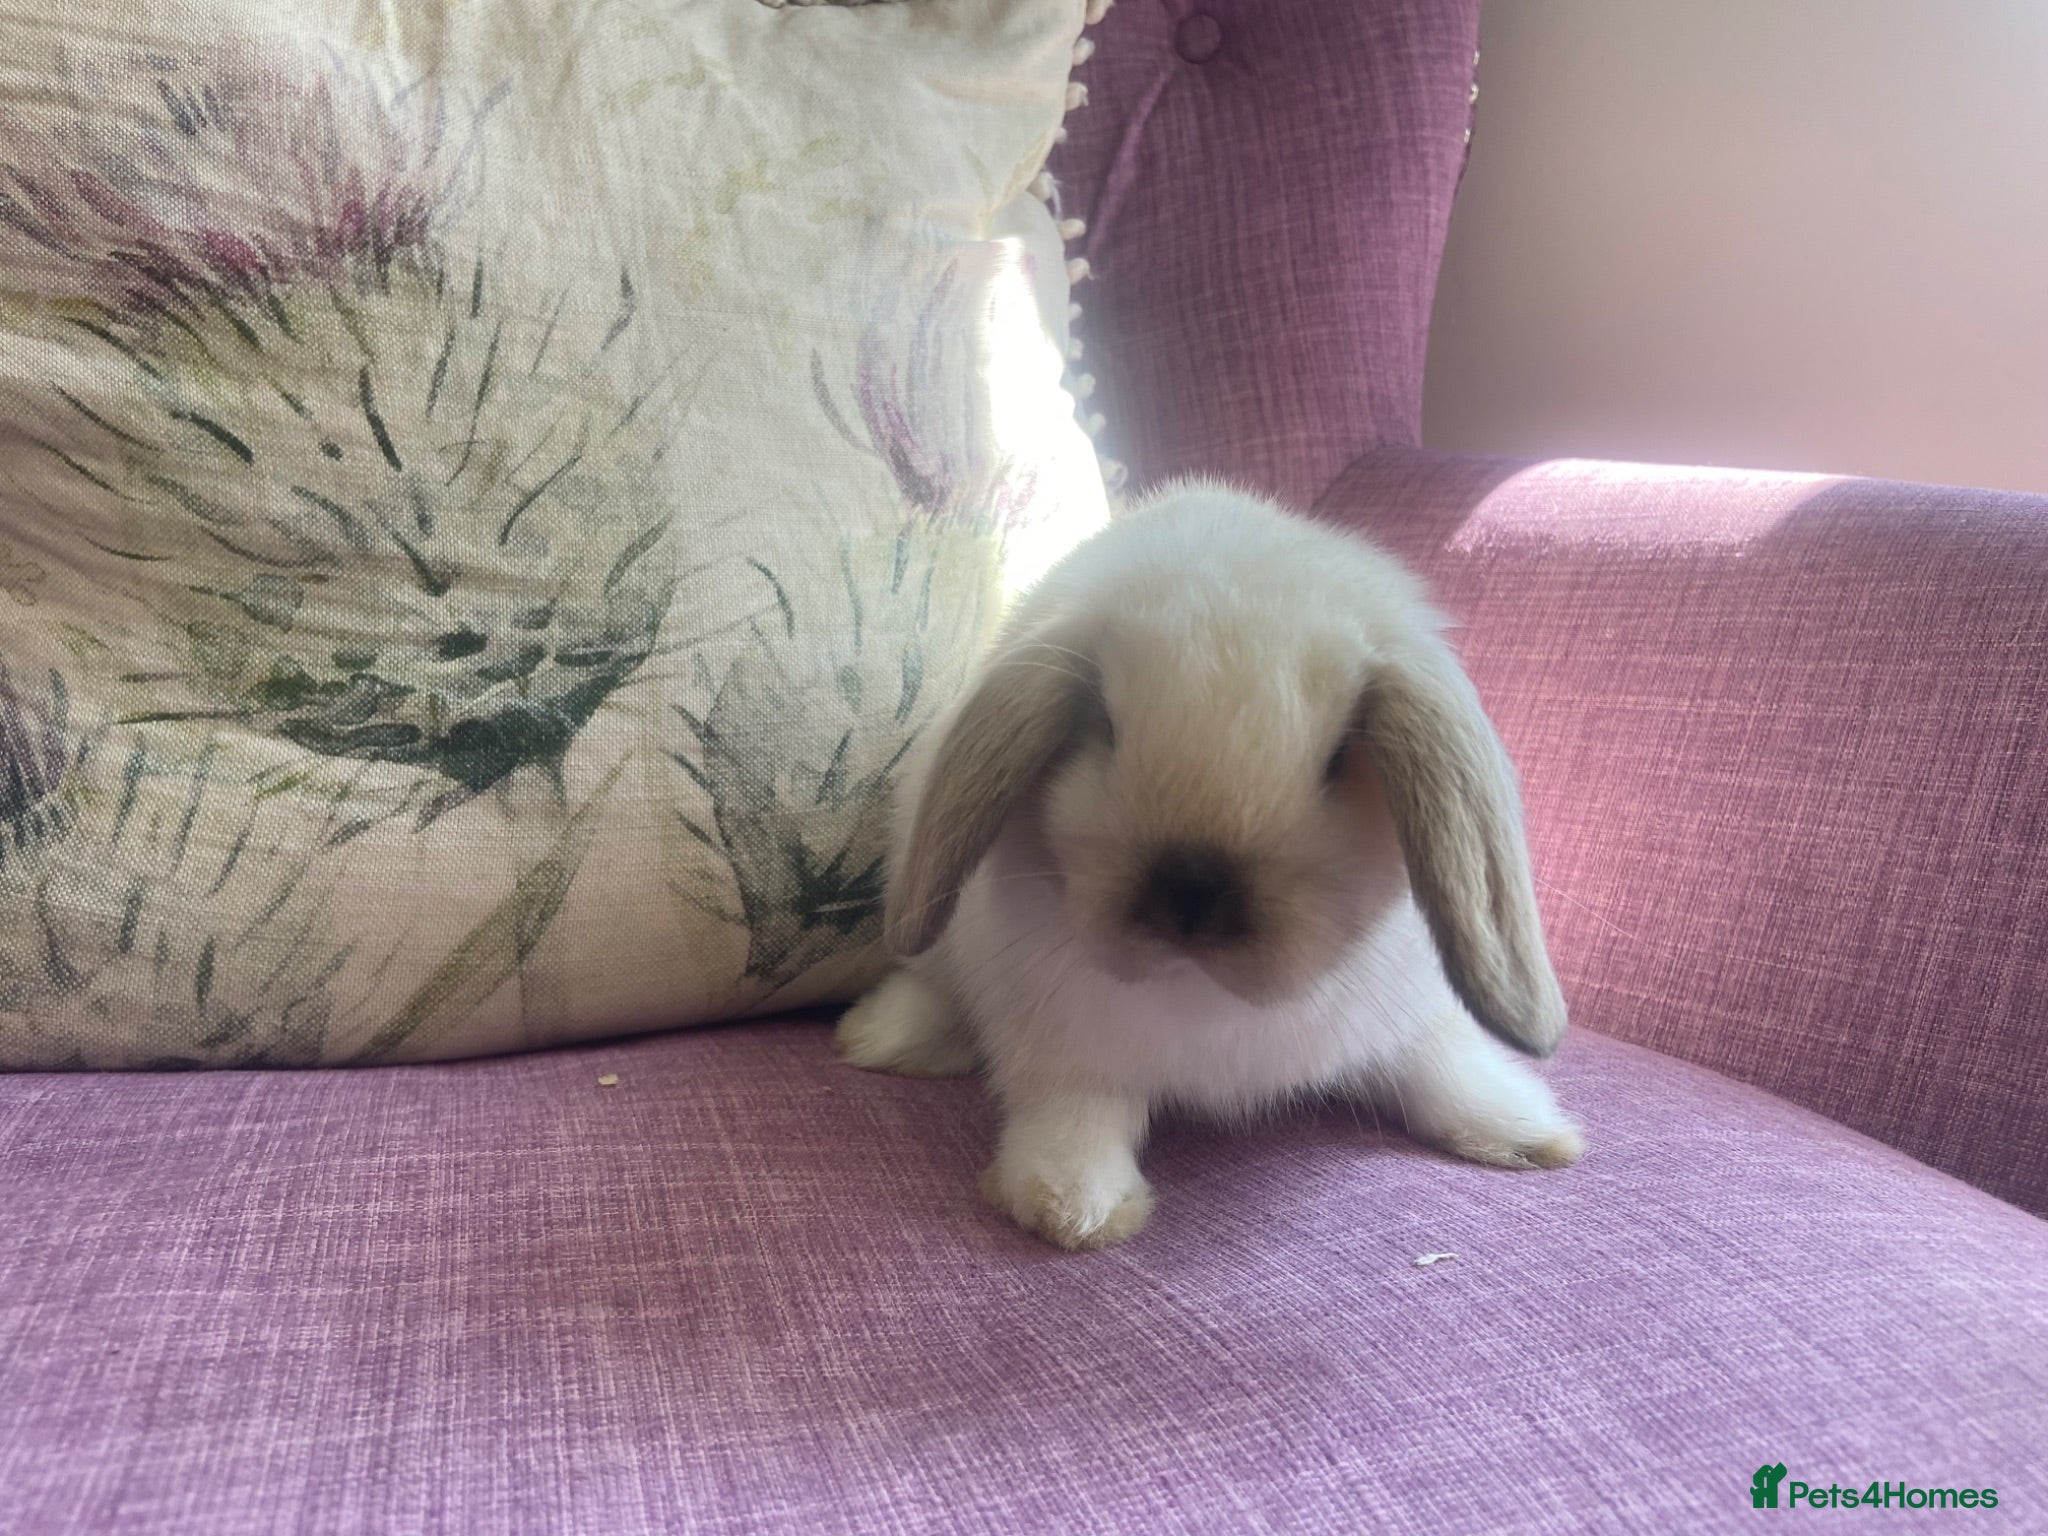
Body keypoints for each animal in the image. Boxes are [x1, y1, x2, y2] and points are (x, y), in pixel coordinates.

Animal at [836, 480, 1583, 1250]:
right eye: (1105, 727)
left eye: (1337, 758)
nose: (1191, 897)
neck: (1201, 994)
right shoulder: (1057, 1045)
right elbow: (1073, 1112)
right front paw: (1075, 1209)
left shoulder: (1414, 1015)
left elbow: (1443, 1066)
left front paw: (1526, 1133)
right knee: (932, 987)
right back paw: (882, 1038)